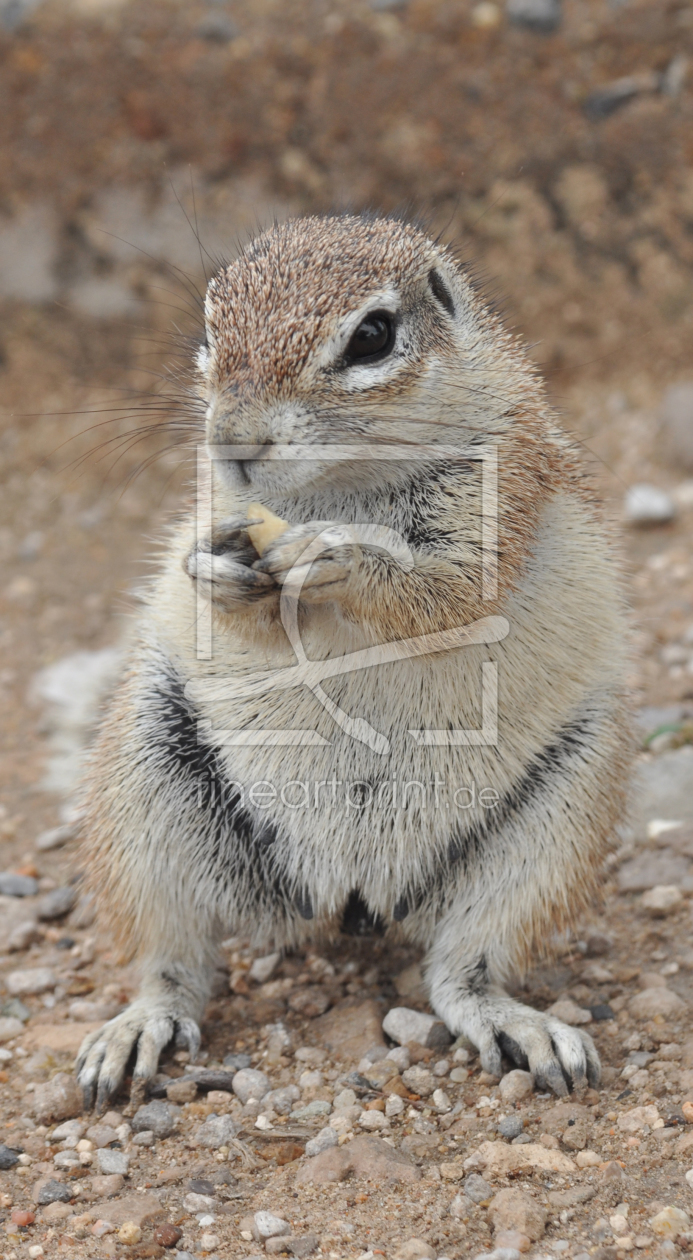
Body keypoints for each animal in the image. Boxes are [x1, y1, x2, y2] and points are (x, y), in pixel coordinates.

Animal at [76, 211, 630, 1108]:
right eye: (208, 329)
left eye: (372, 336)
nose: (232, 442)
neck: (344, 486)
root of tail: (351, 896)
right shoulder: (226, 507)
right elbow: (240, 617)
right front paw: (216, 573)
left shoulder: (501, 494)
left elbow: (444, 592)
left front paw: (337, 556)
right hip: (143, 782)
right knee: (171, 965)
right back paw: (137, 1030)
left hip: (560, 821)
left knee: (461, 972)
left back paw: (517, 1025)